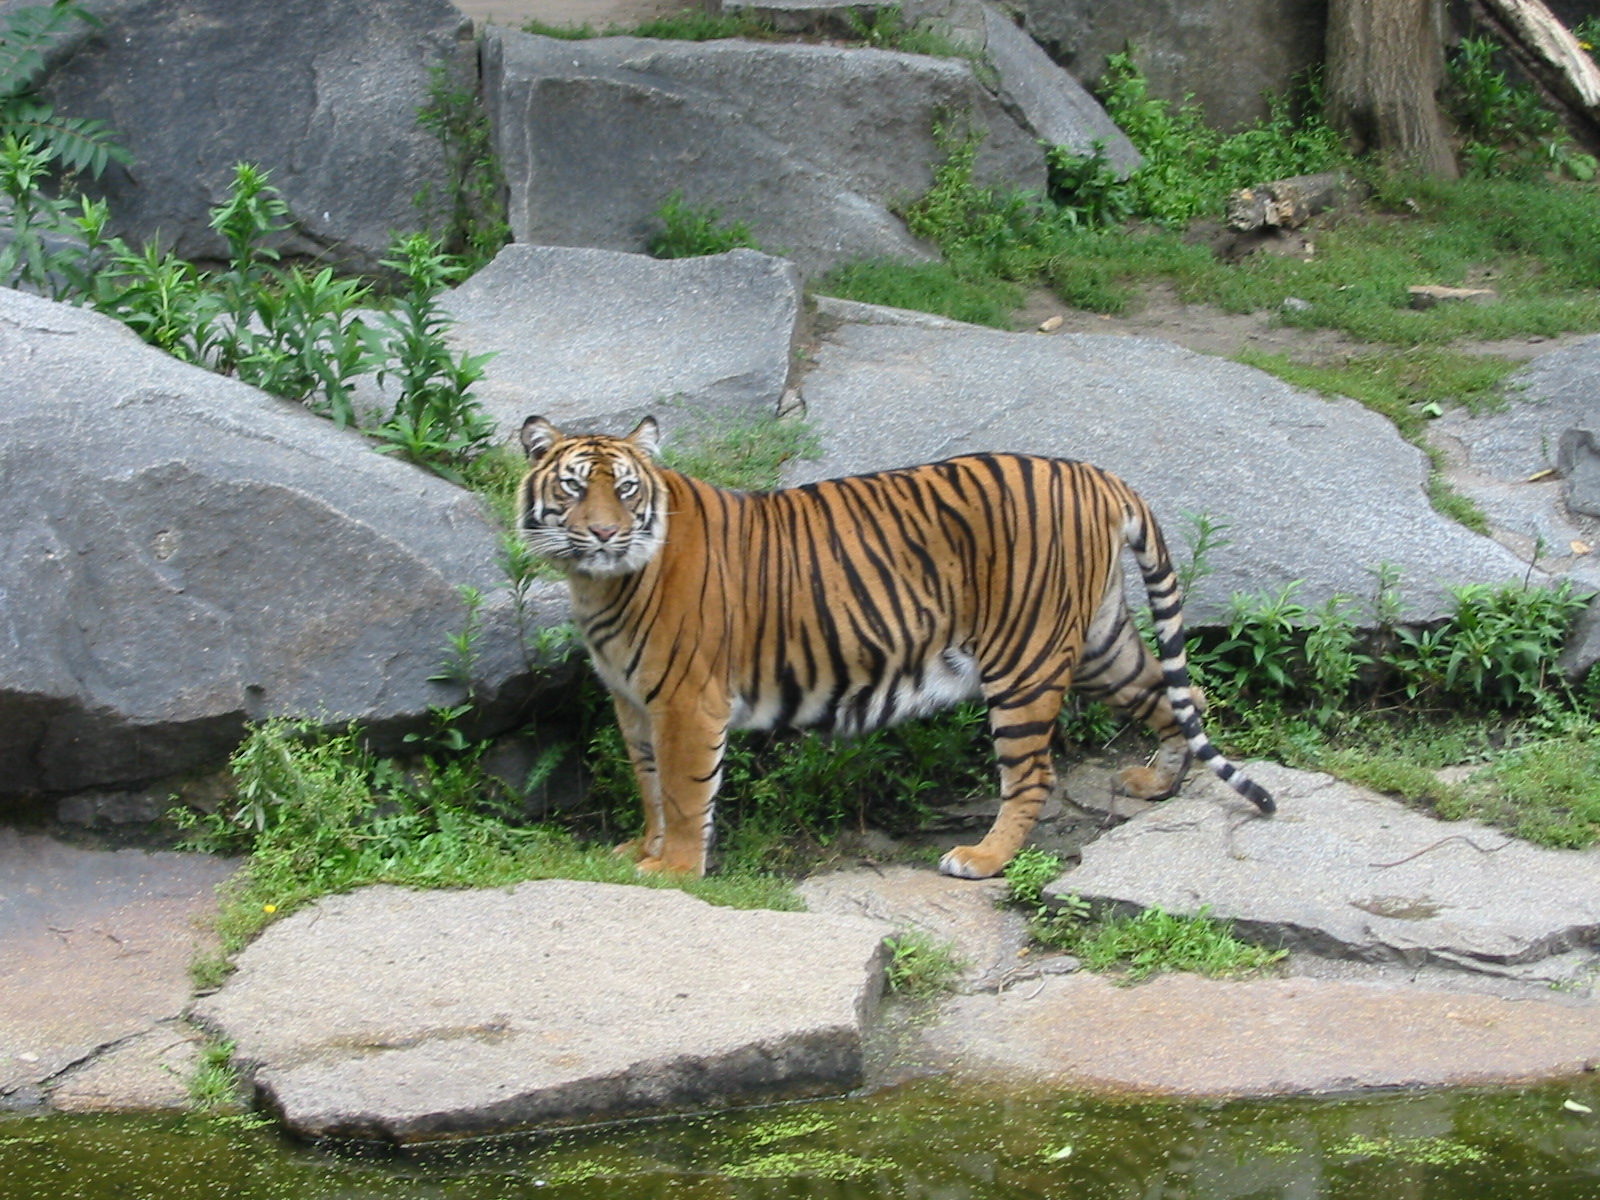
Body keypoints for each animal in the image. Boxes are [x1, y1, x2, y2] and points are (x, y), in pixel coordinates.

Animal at [516, 414, 1274, 879]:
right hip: (1099, 643)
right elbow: (648, 785)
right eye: (574, 489)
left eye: (625, 490)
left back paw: (982, 859)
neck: (599, 584)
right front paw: (638, 850)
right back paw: (1157, 784)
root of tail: (1096, 473)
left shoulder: (686, 703)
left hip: (1024, 661)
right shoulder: (632, 701)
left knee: (1034, 773)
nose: (606, 534)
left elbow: (681, 792)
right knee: (1178, 693)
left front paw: (673, 869)